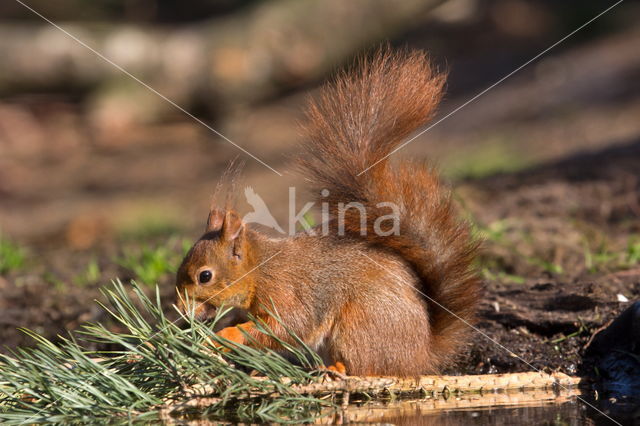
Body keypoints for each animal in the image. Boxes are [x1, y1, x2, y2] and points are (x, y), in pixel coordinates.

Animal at [175, 48, 480, 378]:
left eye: (205, 276)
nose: (180, 311)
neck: (260, 270)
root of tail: (421, 357)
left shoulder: (287, 293)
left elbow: (285, 327)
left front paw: (224, 337)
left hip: (362, 321)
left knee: (368, 367)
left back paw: (335, 368)